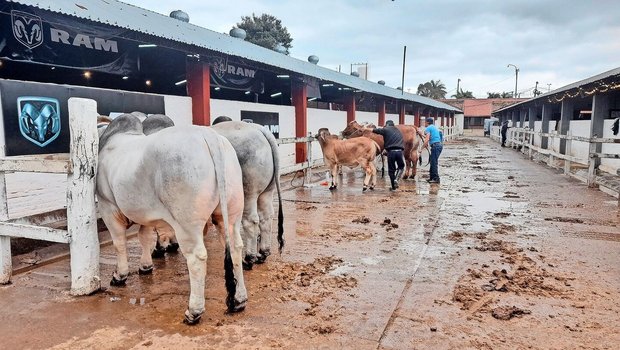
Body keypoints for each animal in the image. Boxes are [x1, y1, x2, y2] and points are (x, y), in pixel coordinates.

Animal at [95, 113, 246, 324]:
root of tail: (208, 135)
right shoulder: (146, 214)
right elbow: (144, 238)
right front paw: (145, 266)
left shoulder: (108, 207)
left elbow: (119, 243)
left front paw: (120, 275)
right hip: (230, 215)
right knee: (235, 247)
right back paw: (238, 301)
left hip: (187, 223)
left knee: (197, 257)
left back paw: (194, 311)